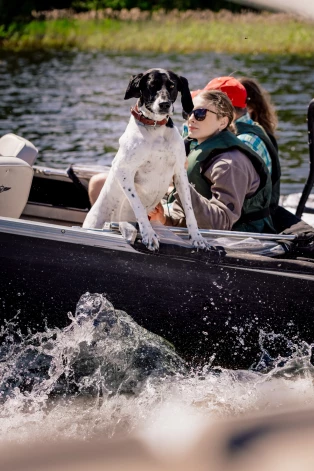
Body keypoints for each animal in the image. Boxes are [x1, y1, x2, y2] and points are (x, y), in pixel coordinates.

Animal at [82, 68, 207, 251]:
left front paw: (197, 237)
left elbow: (189, 209)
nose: (164, 104)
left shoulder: (179, 172)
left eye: (172, 86)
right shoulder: (123, 170)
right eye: (151, 85)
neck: (155, 129)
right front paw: (148, 234)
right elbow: (138, 206)